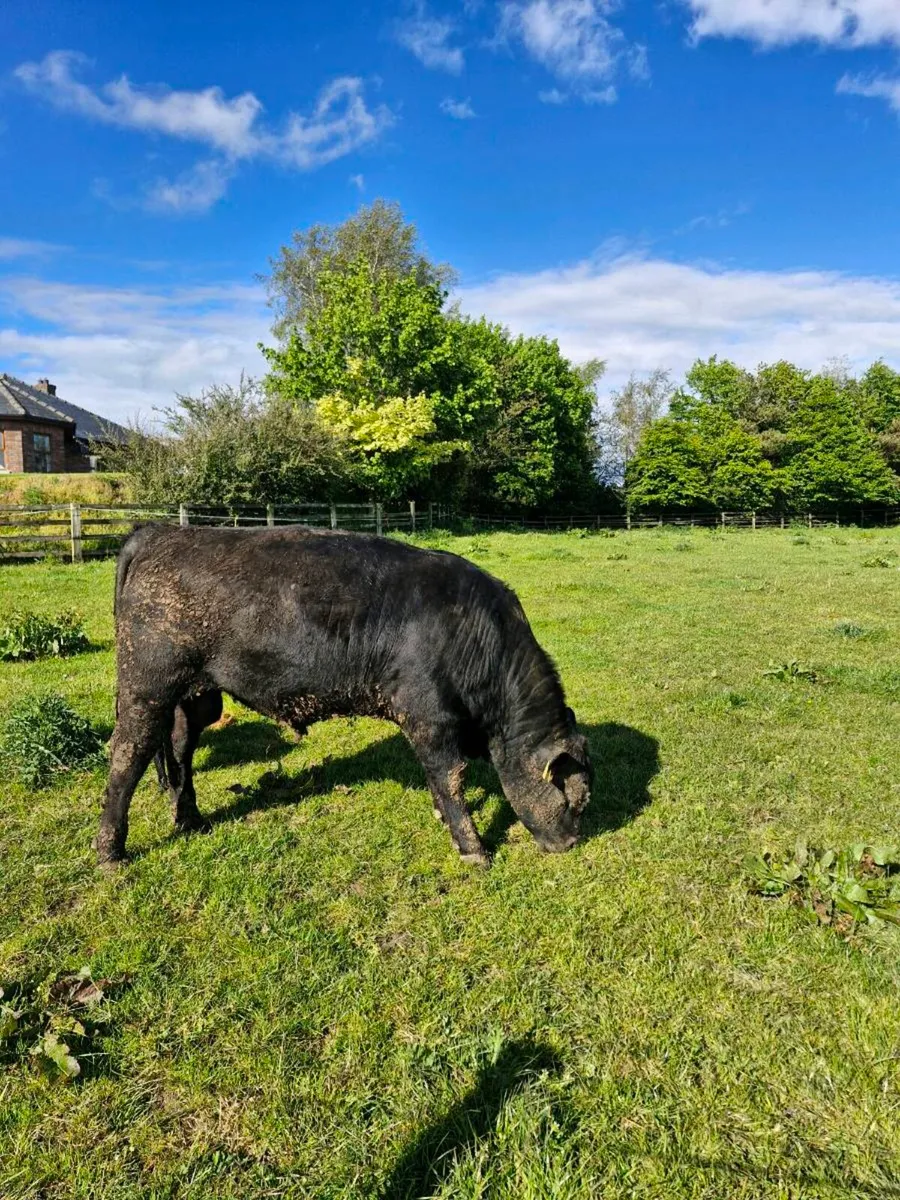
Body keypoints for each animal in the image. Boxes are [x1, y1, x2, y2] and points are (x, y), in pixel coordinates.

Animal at [98, 524, 592, 869]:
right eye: (574, 799)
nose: (571, 843)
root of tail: (157, 532)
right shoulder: (427, 716)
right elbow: (450, 778)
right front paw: (474, 849)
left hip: (196, 695)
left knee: (180, 749)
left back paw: (190, 818)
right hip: (147, 686)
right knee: (128, 753)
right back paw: (110, 852)